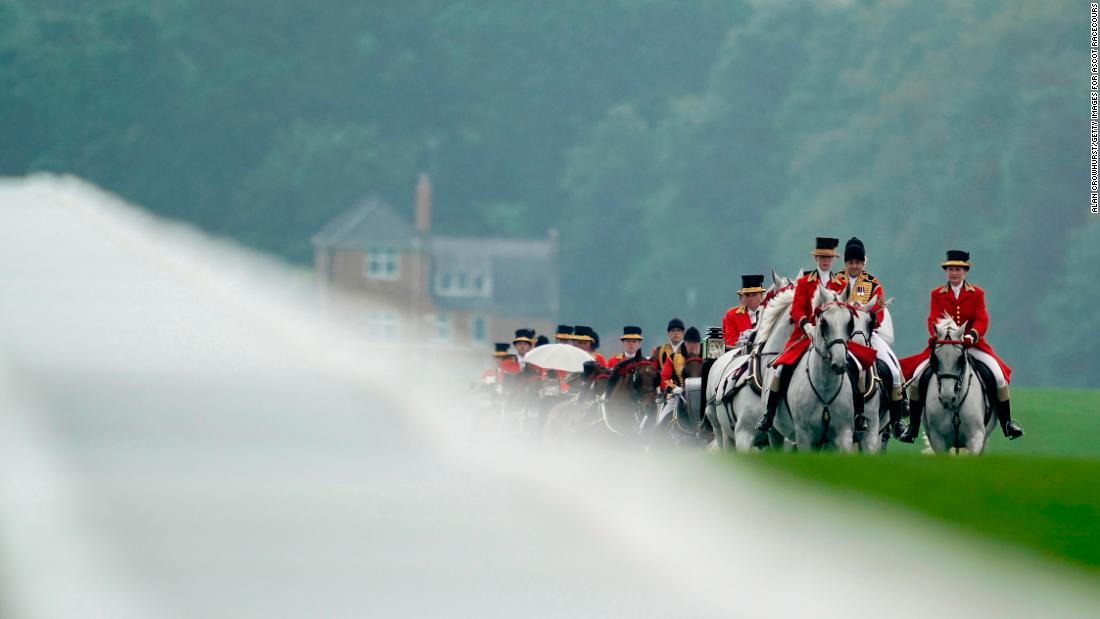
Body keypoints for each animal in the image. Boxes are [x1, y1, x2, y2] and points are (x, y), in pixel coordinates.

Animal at [919, 318, 998, 455]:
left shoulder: (976, 438)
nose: (947, 397)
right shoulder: (938, 440)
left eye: (961, 359)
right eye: (935, 359)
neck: (954, 406)